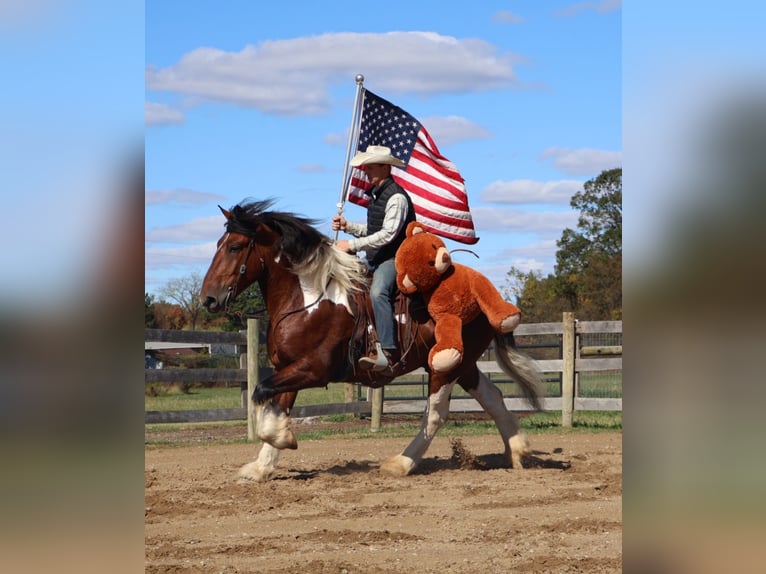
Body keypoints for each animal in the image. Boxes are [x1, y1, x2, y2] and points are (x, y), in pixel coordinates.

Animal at [200, 199, 542, 481]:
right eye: (219, 244)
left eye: (235, 247)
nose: (208, 299)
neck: (309, 299)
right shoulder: (288, 367)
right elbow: (276, 404)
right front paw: (262, 466)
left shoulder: (314, 369)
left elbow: (260, 392)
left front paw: (281, 438)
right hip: (464, 364)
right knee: (492, 397)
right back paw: (517, 450)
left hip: (446, 365)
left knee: (435, 414)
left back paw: (401, 463)